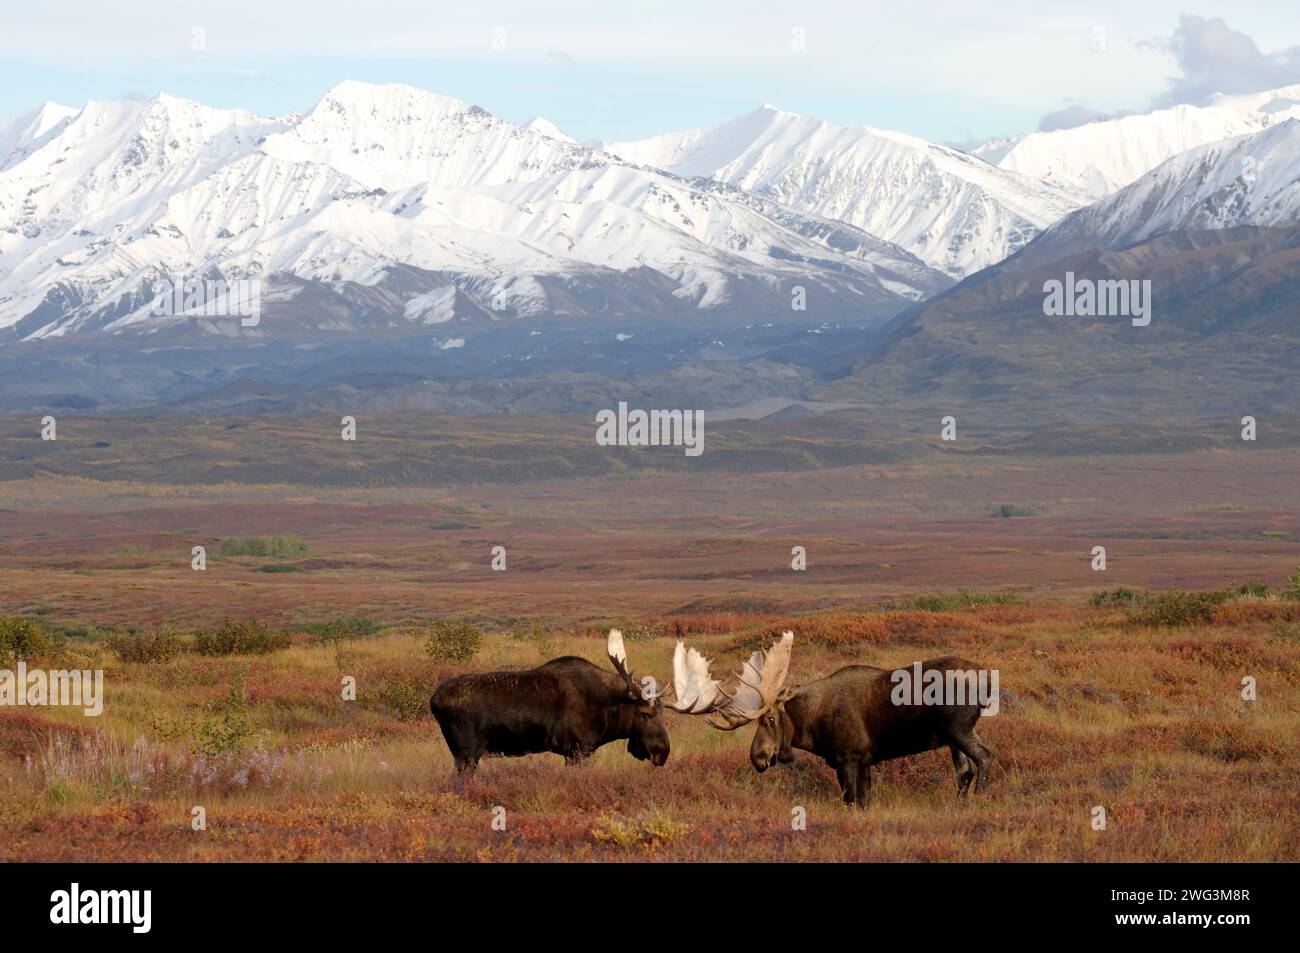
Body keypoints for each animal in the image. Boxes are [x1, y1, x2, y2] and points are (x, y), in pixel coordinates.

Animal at [428, 629, 728, 774]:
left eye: (664, 715)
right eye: (644, 714)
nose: (661, 752)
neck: (607, 713)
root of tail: (433, 701)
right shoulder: (575, 749)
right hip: (466, 754)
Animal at [702, 634, 993, 806]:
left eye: (771, 719)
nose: (757, 757)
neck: (812, 726)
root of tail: (988, 679)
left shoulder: (847, 760)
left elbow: (850, 801)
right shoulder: (864, 762)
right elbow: (865, 802)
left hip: (959, 730)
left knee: (985, 757)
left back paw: (980, 799)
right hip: (954, 737)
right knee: (964, 772)